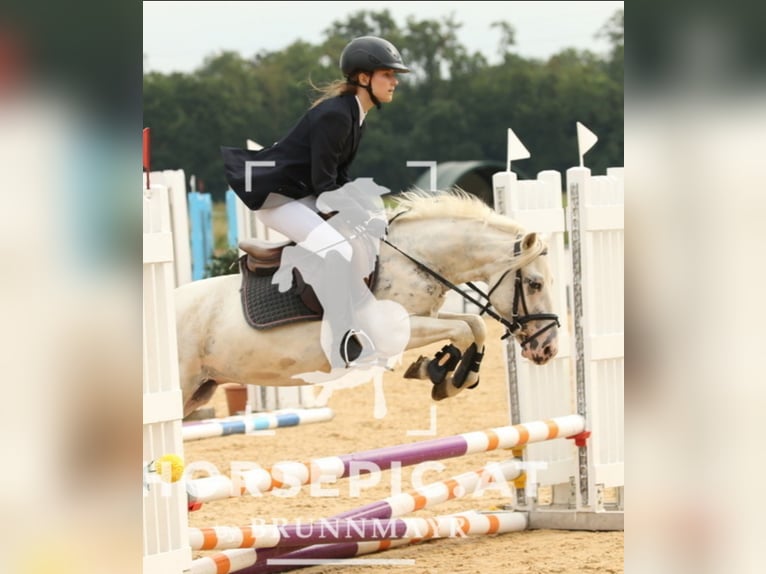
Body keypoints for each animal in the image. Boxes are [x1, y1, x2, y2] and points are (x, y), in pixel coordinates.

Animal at [176, 190, 560, 417]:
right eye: (535, 284)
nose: (548, 349)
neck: (412, 258)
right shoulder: (393, 330)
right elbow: (465, 330)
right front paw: (445, 374)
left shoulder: (425, 315)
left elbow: (474, 325)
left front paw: (440, 371)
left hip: (199, 391)